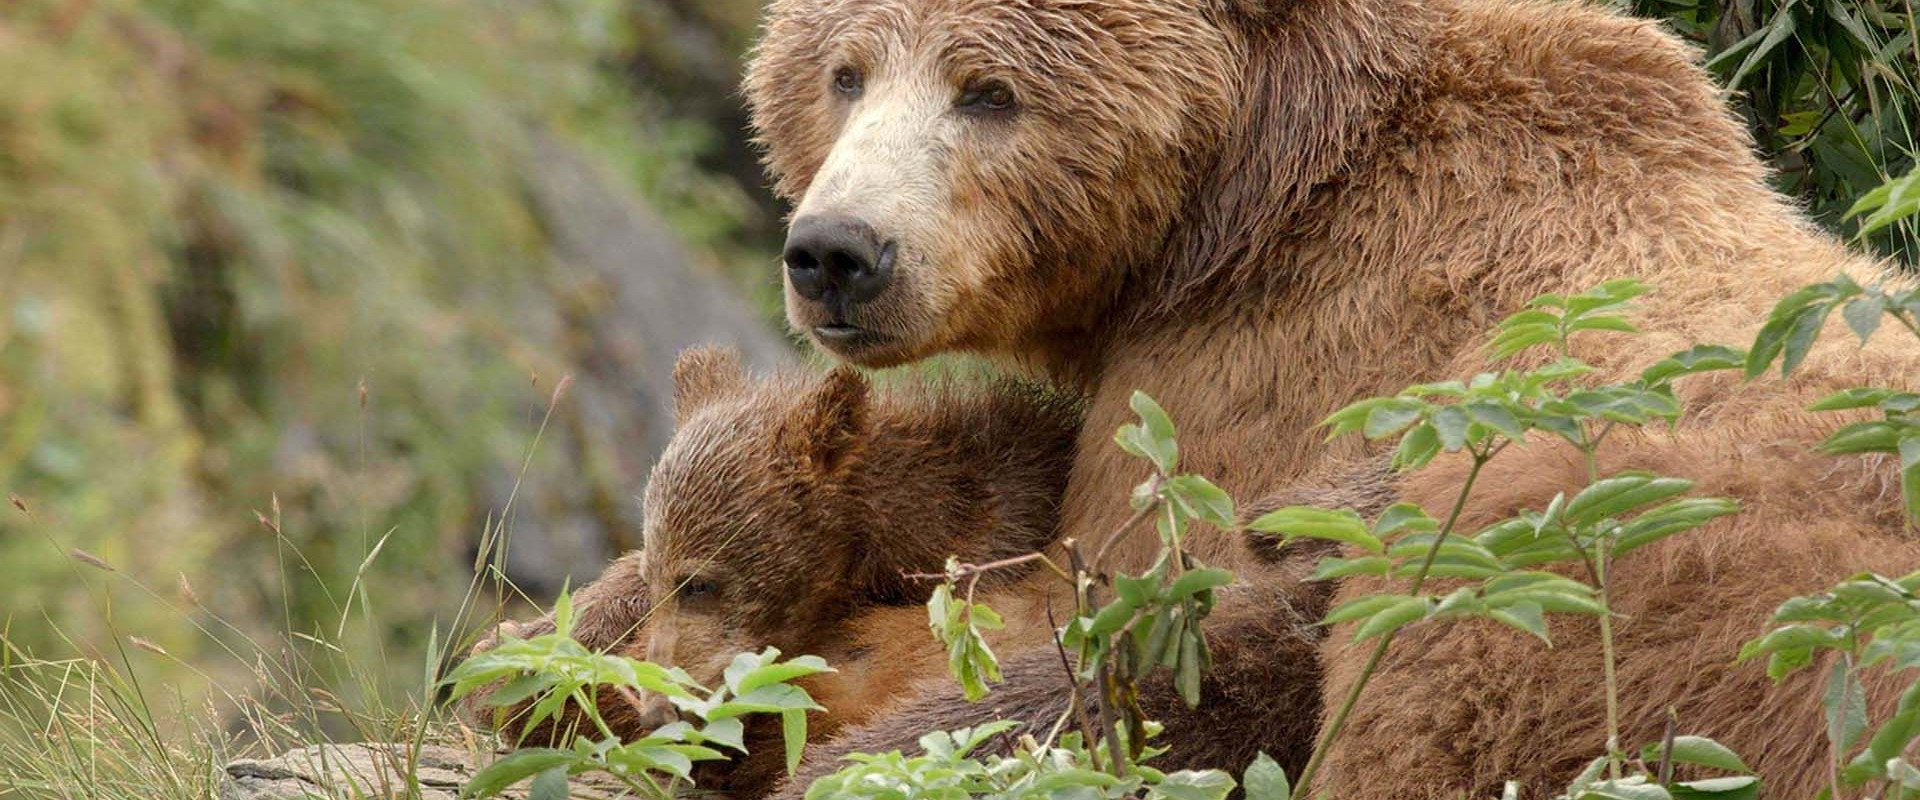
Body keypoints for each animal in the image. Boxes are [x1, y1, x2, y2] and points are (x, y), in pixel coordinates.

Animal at [741, 0, 1920, 797]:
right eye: (844, 72)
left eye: (988, 91)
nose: (838, 252)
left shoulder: (1250, 383)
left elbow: (1072, 614)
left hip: (1584, 570)